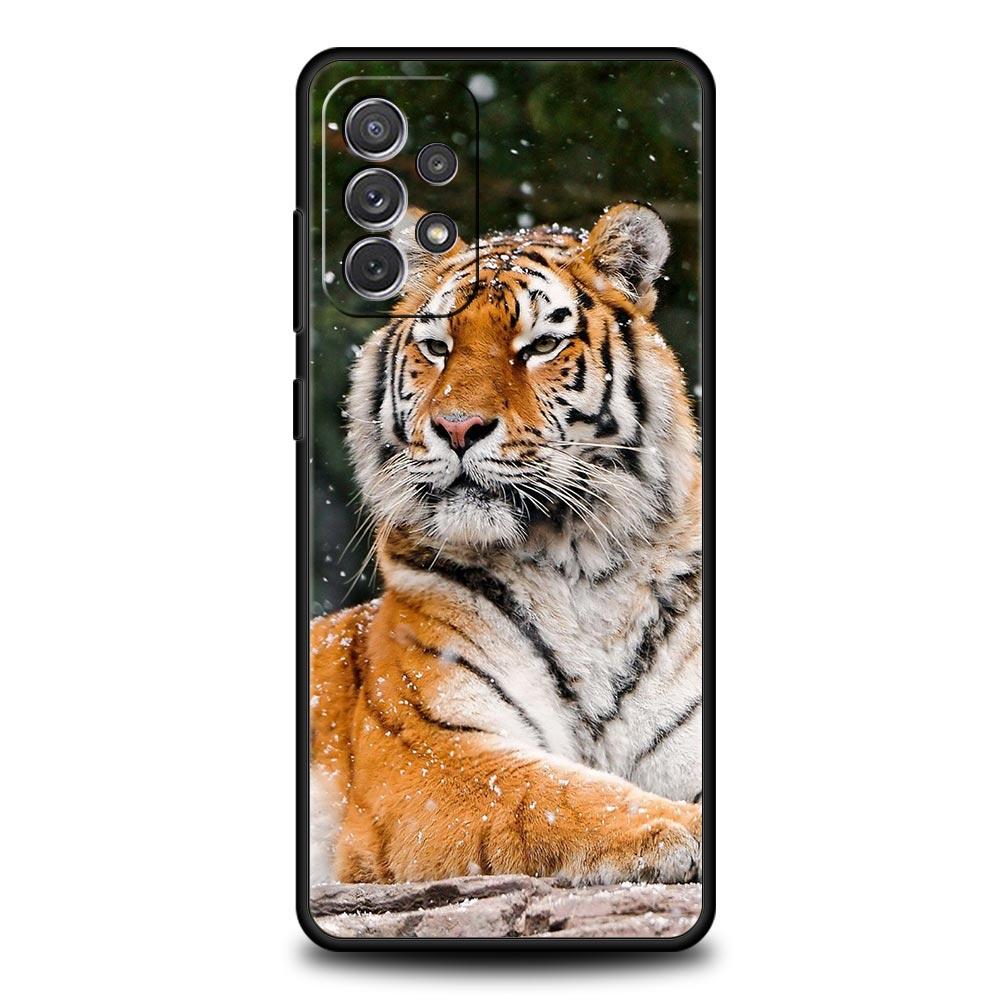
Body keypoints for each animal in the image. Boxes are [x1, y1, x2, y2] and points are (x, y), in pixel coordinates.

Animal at [310, 203, 703, 888]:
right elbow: (552, 795)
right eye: (437, 348)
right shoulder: (426, 747)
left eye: (541, 344)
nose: (457, 427)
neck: (582, 570)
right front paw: (683, 827)